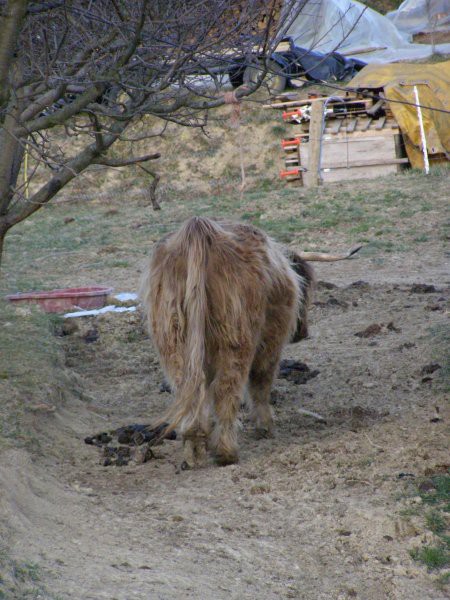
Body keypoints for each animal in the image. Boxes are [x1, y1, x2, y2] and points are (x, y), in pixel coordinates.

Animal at [141, 217, 312, 468]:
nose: (303, 332)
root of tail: (198, 229)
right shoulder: (271, 343)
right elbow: (261, 382)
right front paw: (265, 426)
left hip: (172, 335)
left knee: (188, 388)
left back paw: (193, 449)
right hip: (237, 335)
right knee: (227, 387)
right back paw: (226, 451)